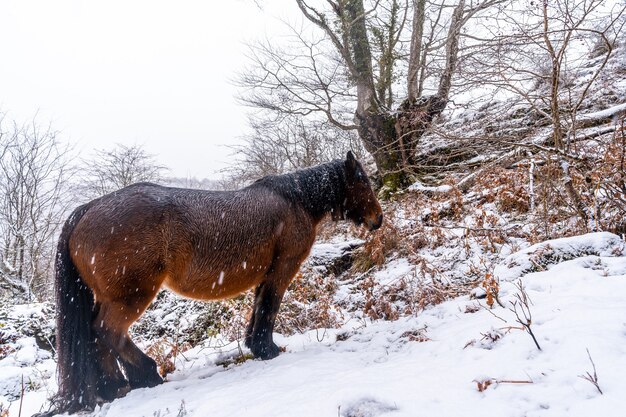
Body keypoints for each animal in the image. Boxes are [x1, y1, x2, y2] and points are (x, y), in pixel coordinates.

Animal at [53, 151, 382, 412]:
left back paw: (116, 387)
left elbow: (259, 307)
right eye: (363, 181)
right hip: (131, 296)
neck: (296, 201)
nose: (378, 219)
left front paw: (256, 346)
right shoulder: (281, 270)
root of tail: (87, 210)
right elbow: (270, 307)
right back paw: (145, 375)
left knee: (98, 336)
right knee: (107, 331)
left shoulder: (265, 275)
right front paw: (267, 349)